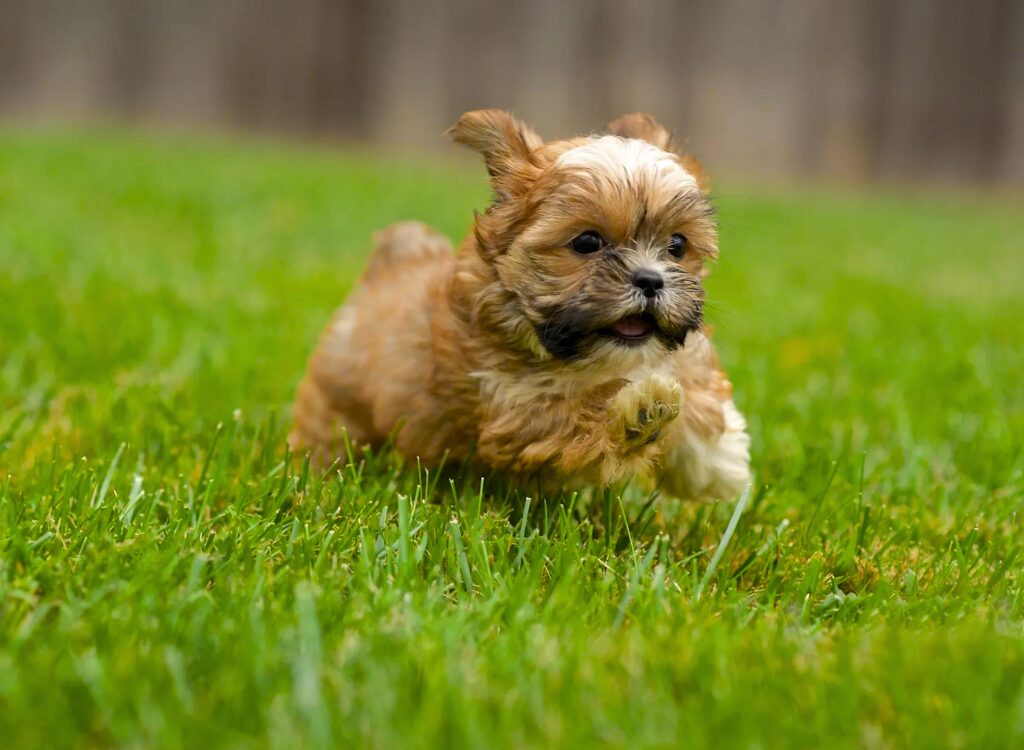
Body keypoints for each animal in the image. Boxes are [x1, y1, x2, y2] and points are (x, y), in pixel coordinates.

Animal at [290, 109, 753, 497]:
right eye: (587, 242)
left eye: (677, 245)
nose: (651, 279)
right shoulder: (514, 408)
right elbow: (576, 415)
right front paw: (641, 411)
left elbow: (694, 386)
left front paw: (718, 464)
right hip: (338, 402)